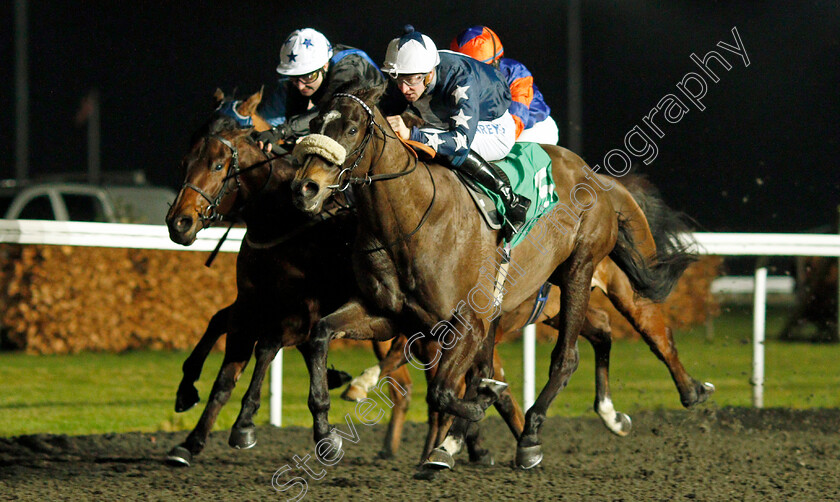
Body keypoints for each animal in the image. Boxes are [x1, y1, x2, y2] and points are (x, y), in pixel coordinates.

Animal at [292, 84, 704, 468]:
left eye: (351, 128)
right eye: (314, 125)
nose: (306, 188)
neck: (409, 222)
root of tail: (598, 177)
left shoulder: (467, 322)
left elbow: (446, 390)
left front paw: (473, 418)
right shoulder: (388, 315)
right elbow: (320, 335)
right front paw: (327, 435)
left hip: (586, 271)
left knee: (608, 346)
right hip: (556, 298)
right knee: (601, 330)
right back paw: (611, 413)